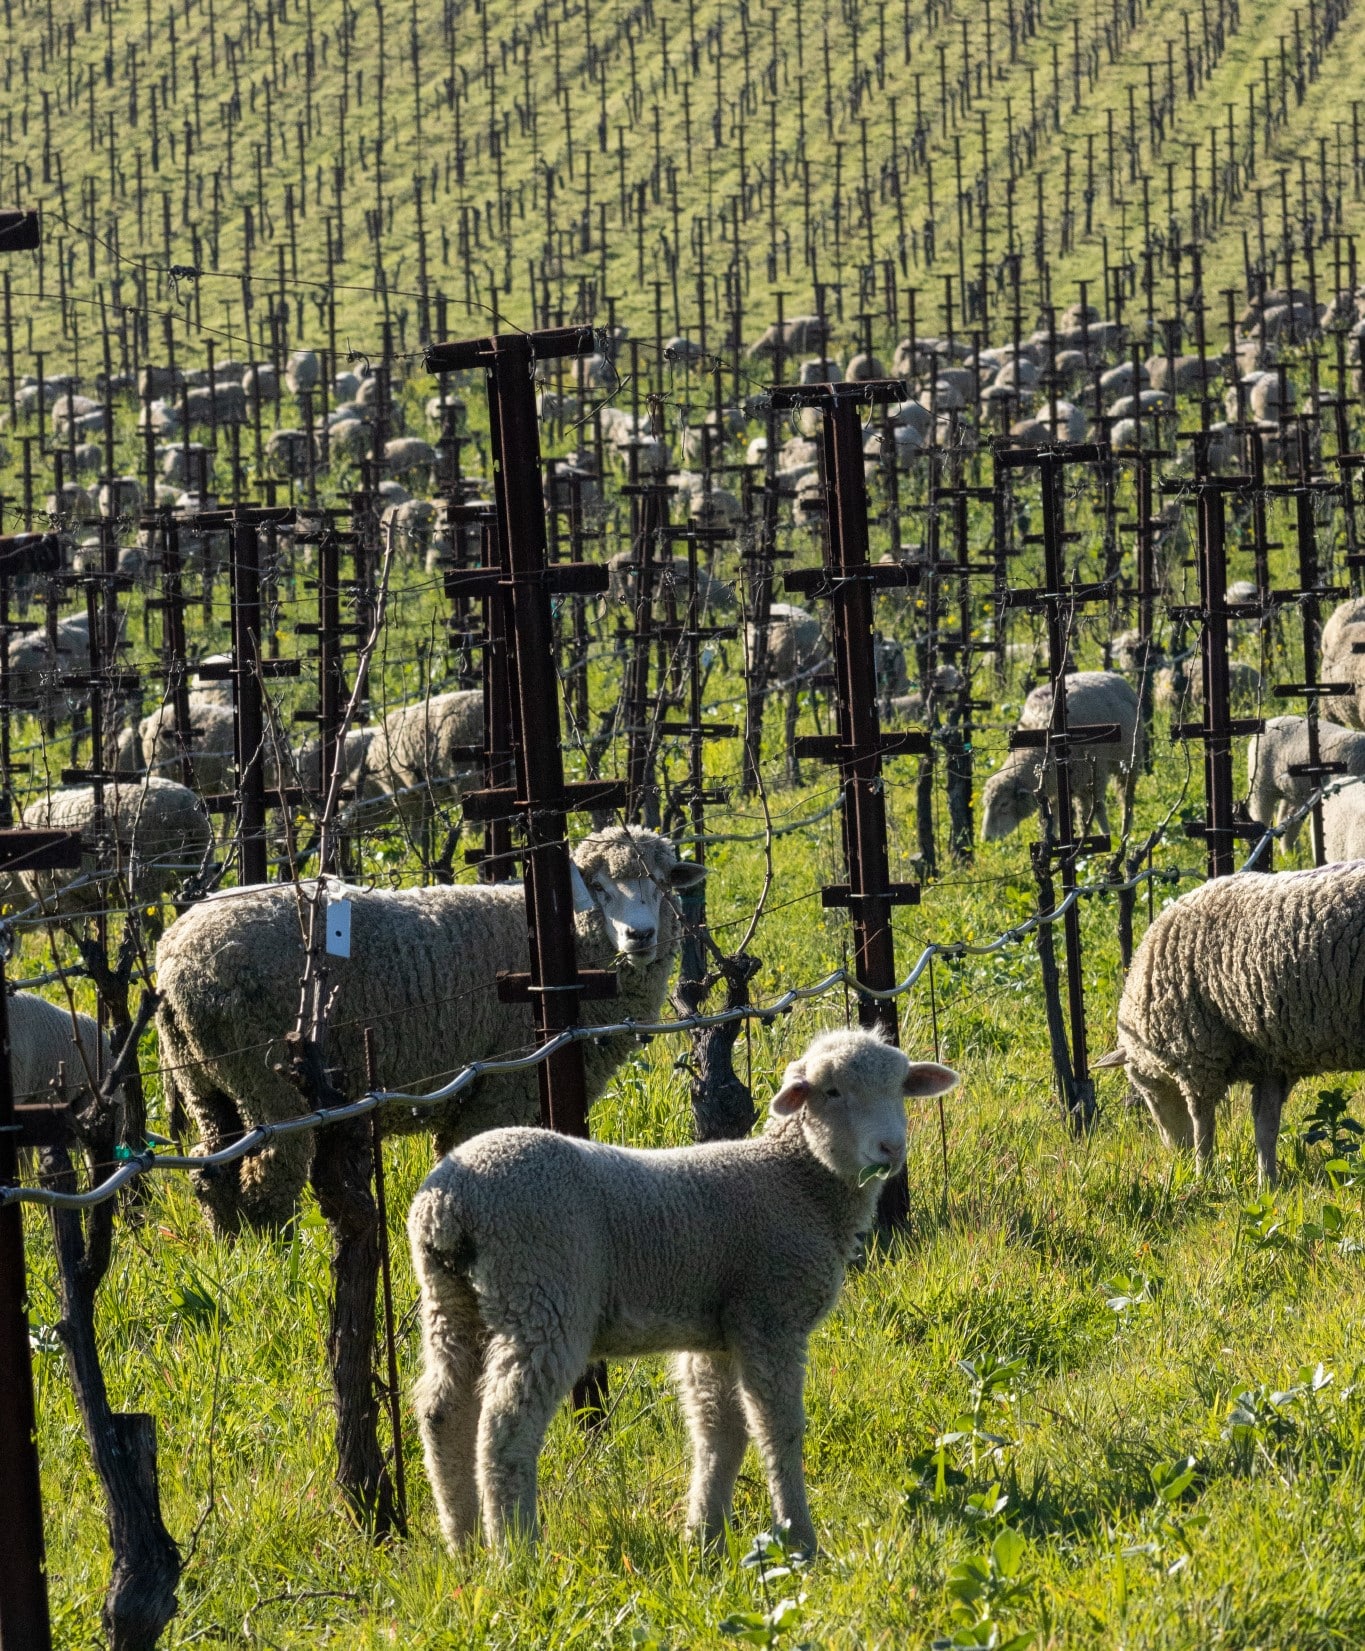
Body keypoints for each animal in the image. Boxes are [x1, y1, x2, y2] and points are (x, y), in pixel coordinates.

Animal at [157, 818, 703, 1234]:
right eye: (598, 888)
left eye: (661, 884)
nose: (640, 935)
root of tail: (174, 956)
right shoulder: (506, 1082)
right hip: (267, 1079)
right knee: (269, 1172)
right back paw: (274, 1251)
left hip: (205, 1079)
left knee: (213, 1170)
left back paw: (231, 1244)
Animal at [410, 1023, 957, 1551]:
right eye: (832, 1091)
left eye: (900, 1087)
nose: (891, 1149)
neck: (796, 1181)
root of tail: (449, 1202)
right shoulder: (770, 1315)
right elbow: (778, 1428)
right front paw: (798, 1538)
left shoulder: (716, 1333)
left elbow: (720, 1430)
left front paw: (704, 1538)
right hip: (542, 1294)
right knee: (505, 1428)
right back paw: (517, 1551)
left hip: (451, 1302)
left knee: (443, 1412)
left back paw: (464, 1546)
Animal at [983, 670, 1142, 845]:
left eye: (1004, 804)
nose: (986, 838)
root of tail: (1110, 674)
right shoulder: (1055, 785)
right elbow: (1052, 817)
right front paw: (1050, 841)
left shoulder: (1096, 772)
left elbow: (1099, 807)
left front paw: (1107, 835)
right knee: (1084, 809)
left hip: (1127, 758)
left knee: (1125, 795)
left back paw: (1125, 829)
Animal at [1095, 858, 1365, 1182]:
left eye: (1145, 1091)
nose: (1177, 1153)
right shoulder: (1270, 1058)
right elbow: (1265, 1125)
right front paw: (1267, 1183)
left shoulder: (1196, 1055)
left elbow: (1203, 1124)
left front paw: (1202, 1175)